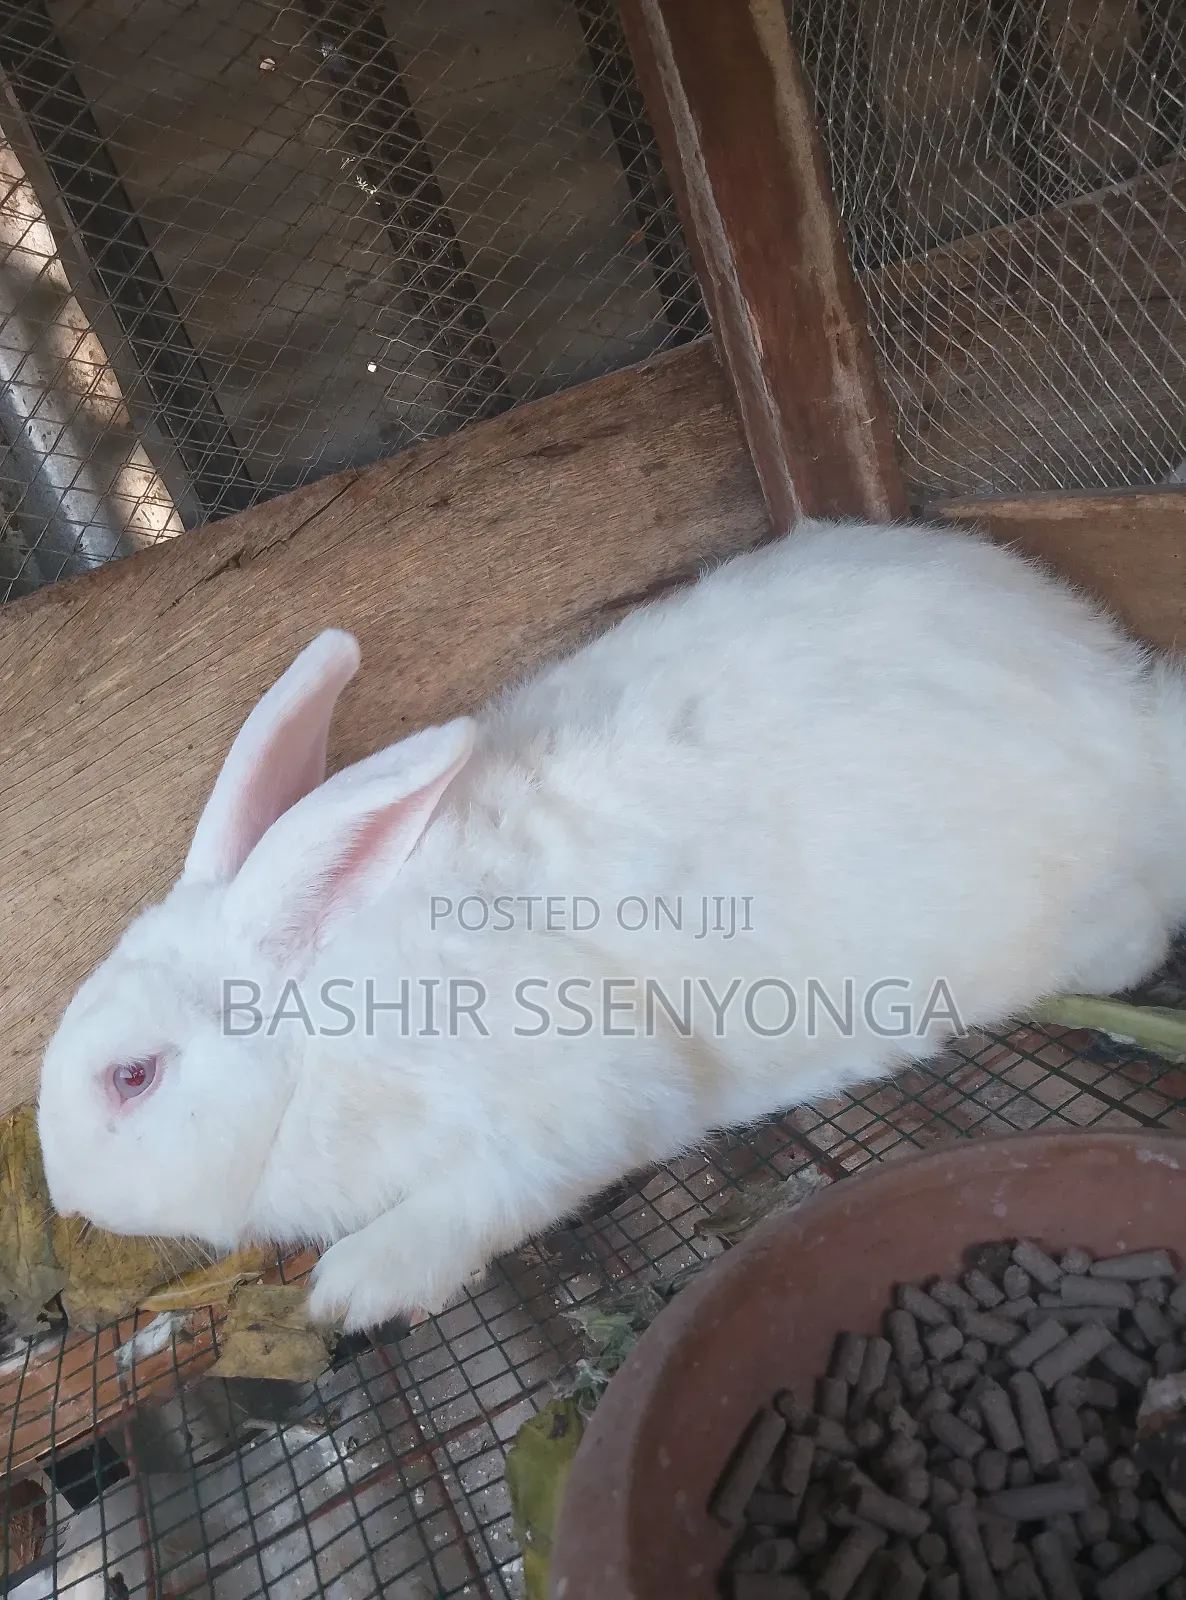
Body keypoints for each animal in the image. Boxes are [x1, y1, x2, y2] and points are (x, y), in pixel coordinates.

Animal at [36, 517, 1186, 1331]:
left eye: (132, 1077)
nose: (69, 1198)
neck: (318, 1030)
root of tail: (1132, 713)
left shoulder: (576, 1091)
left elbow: (495, 1186)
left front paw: (357, 1284)